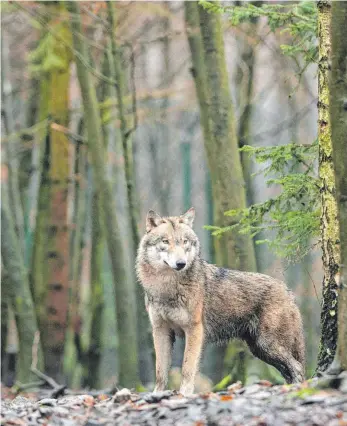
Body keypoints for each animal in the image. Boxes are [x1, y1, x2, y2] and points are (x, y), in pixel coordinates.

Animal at [136, 208, 304, 394]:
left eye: (185, 242)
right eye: (165, 241)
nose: (181, 263)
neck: (167, 287)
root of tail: (288, 291)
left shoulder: (194, 330)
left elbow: (187, 369)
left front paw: (184, 395)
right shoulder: (160, 330)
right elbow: (160, 372)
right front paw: (158, 394)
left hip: (268, 345)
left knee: (297, 367)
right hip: (260, 349)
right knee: (288, 370)